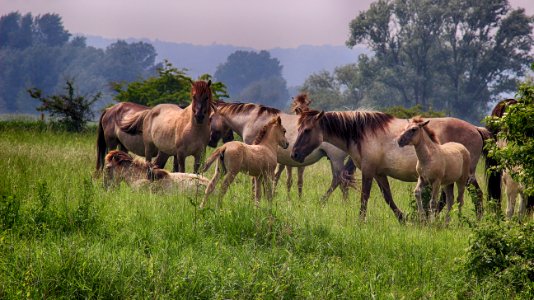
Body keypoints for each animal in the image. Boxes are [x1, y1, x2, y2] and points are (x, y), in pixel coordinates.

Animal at [294, 109, 494, 221]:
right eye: (299, 129)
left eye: (307, 130)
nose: (294, 153)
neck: (361, 133)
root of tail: (476, 129)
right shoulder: (379, 174)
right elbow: (388, 197)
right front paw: (403, 219)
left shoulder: (368, 171)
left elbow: (364, 197)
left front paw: (360, 220)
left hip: (465, 176)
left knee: (475, 195)